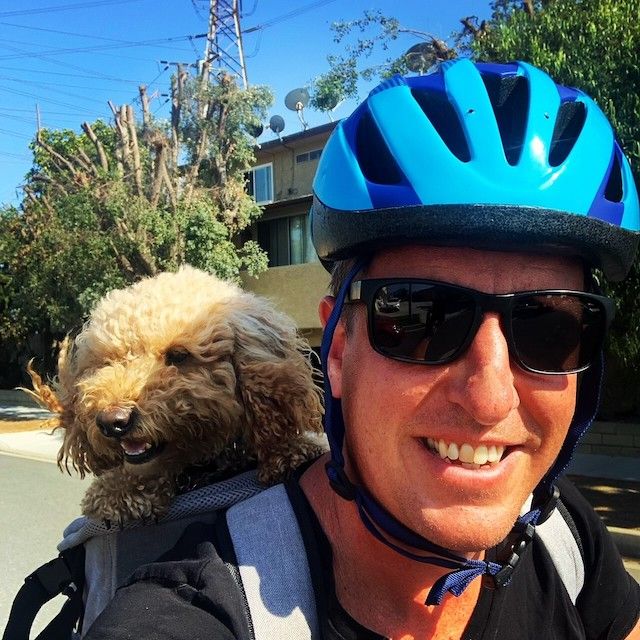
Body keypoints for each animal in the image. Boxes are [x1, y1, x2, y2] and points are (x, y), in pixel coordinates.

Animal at [25, 264, 324, 524]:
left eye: (179, 355)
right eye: (108, 361)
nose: (112, 422)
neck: (198, 472)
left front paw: (289, 453)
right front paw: (118, 493)